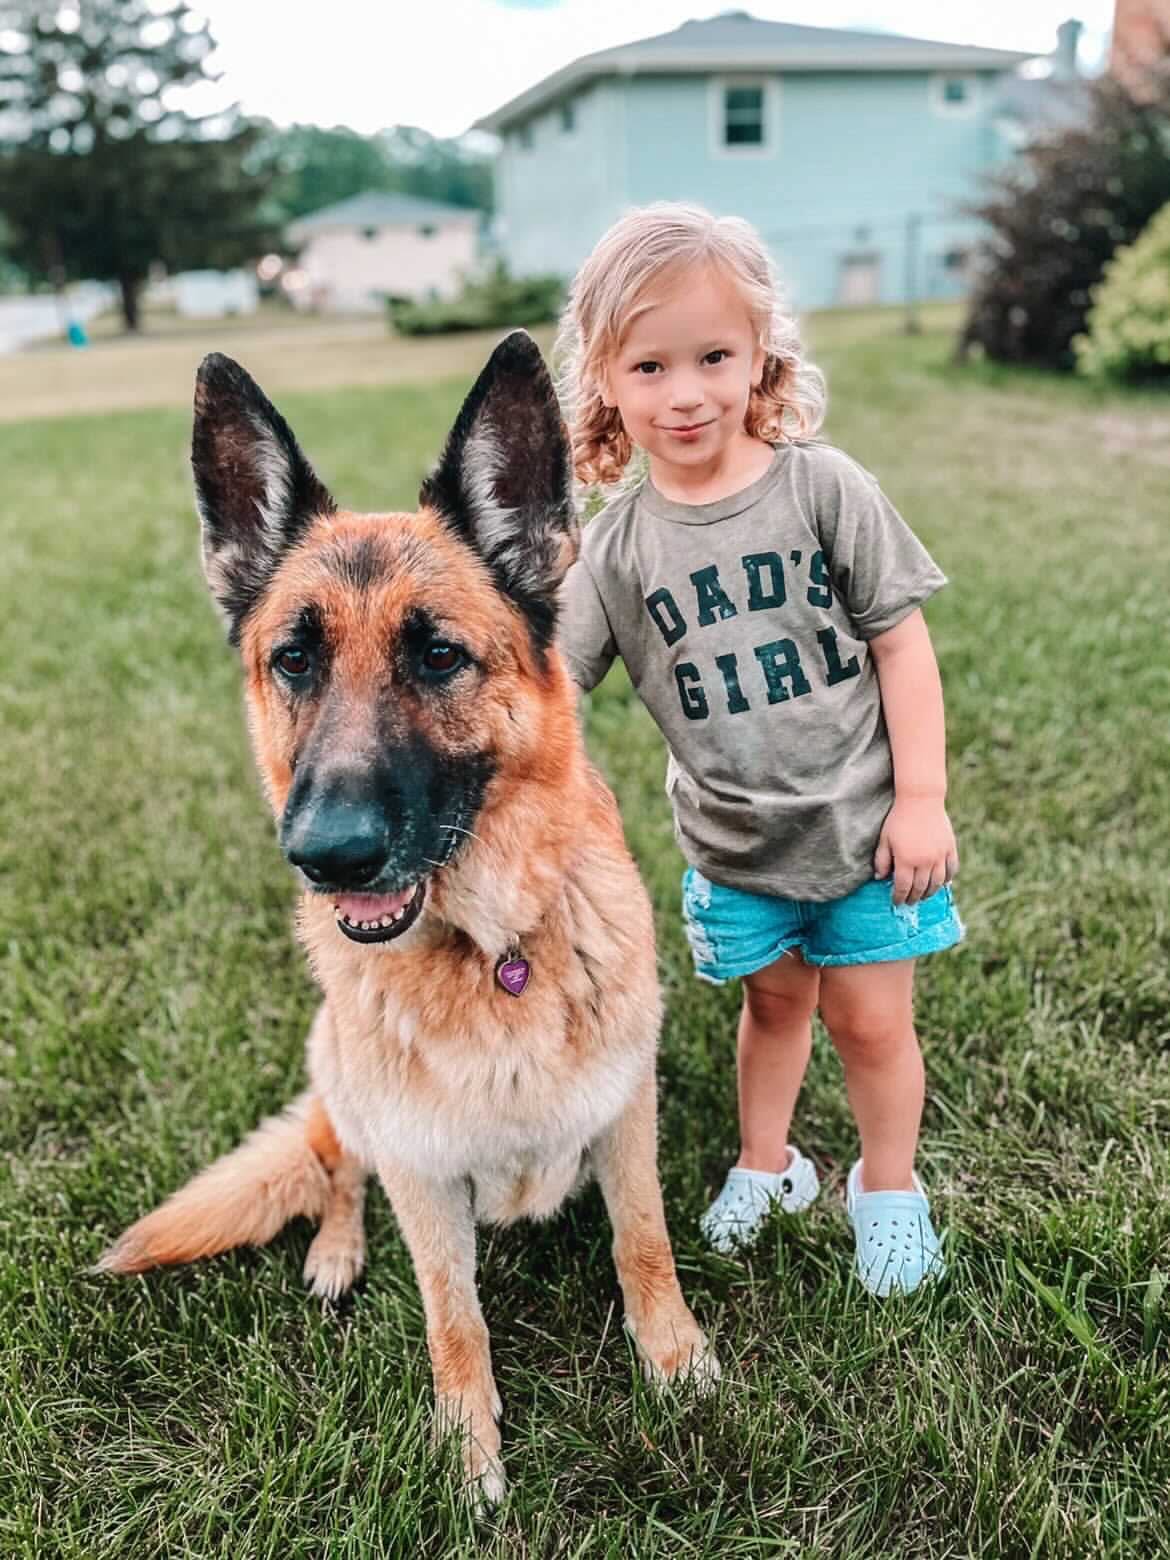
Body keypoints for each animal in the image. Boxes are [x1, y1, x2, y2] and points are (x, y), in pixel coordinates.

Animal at [98, 331, 717, 1502]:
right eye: (293, 659)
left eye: (438, 656)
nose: (327, 856)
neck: (496, 951)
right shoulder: (425, 1180)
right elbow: (451, 1315)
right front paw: (469, 1451)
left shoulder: (627, 1116)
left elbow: (643, 1242)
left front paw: (675, 1360)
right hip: (338, 1072)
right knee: (337, 1167)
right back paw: (337, 1251)